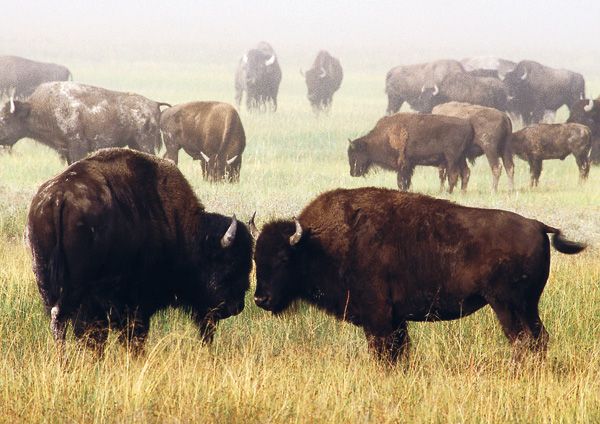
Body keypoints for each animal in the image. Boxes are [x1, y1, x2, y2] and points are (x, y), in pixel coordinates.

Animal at [0, 81, 170, 164]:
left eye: (6, 119)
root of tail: (154, 104)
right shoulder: (66, 150)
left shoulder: (77, 146)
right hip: (134, 144)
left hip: (144, 143)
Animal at [27, 147, 253, 352]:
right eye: (230, 263)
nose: (237, 306)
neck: (176, 224)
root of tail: (58, 199)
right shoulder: (136, 304)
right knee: (68, 321)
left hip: (46, 284)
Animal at [253, 187, 584, 362]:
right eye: (256, 259)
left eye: (283, 259)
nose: (260, 299)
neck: (318, 244)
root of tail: (537, 225)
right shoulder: (395, 319)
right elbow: (398, 351)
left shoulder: (378, 317)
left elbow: (384, 351)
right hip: (528, 306)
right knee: (538, 338)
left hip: (507, 305)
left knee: (523, 339)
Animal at [346, 112, 474, 192]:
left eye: (354, 154)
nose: (352, 173)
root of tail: (468, 125)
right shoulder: (409, 165)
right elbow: (406, 181)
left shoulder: (402, 164)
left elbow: (401, 181)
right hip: (461, 158)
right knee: (465, 172)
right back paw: (462, 192)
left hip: (452, 158)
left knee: (454, 175)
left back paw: (448, 192)